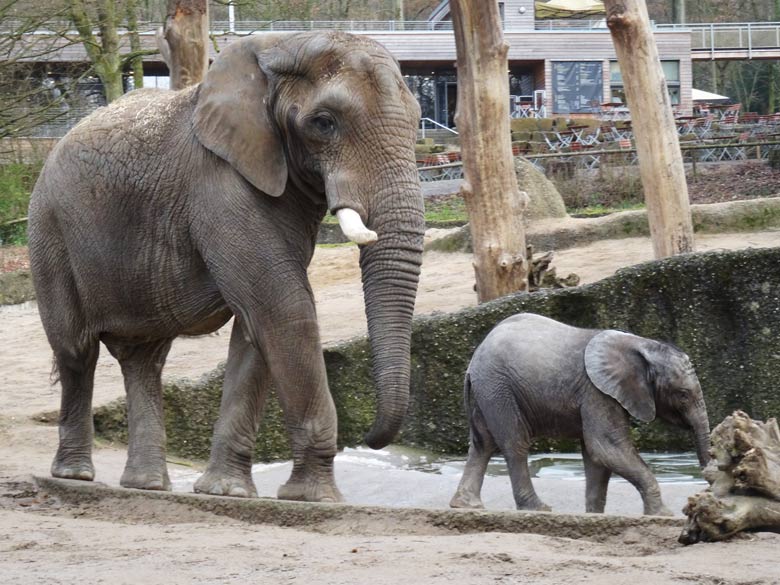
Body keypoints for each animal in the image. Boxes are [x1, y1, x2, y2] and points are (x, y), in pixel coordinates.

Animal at [27, 30, 424, 502]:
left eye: (419, 119)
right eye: (324, 123)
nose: (370, 436)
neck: (280, 47)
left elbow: (256, 326)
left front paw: (227, 492)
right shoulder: (219, 184)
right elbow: (283, 308)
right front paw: (314, 498)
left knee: (143, 359)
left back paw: (148, 485)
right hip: (49, 228)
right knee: (75, 351)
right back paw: (76, 476)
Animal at [450, 312, 712, 512]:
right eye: (683, 395)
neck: (641, 345)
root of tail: (474, 360)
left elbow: (596, 456)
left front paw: (594, 515)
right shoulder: (596, 392)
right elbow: (606, 447)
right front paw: (662, 514)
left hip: (487, 391)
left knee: (482, 444)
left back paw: (467, 505)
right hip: (499, 388)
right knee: (515, 444)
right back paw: (538, 508)